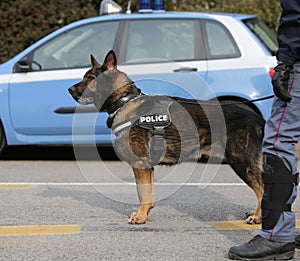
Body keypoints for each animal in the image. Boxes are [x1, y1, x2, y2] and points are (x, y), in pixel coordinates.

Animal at [68, 49, 264, 224]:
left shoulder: (140, 164)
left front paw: (140, 217)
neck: (124, 101)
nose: (69, 89)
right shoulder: (147, 167)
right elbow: (148, 195)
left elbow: (142, 193)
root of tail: (257, 117)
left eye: (90, 78)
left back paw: (258, 217)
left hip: (241, 162)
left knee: (262, 188)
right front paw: (145, 213)